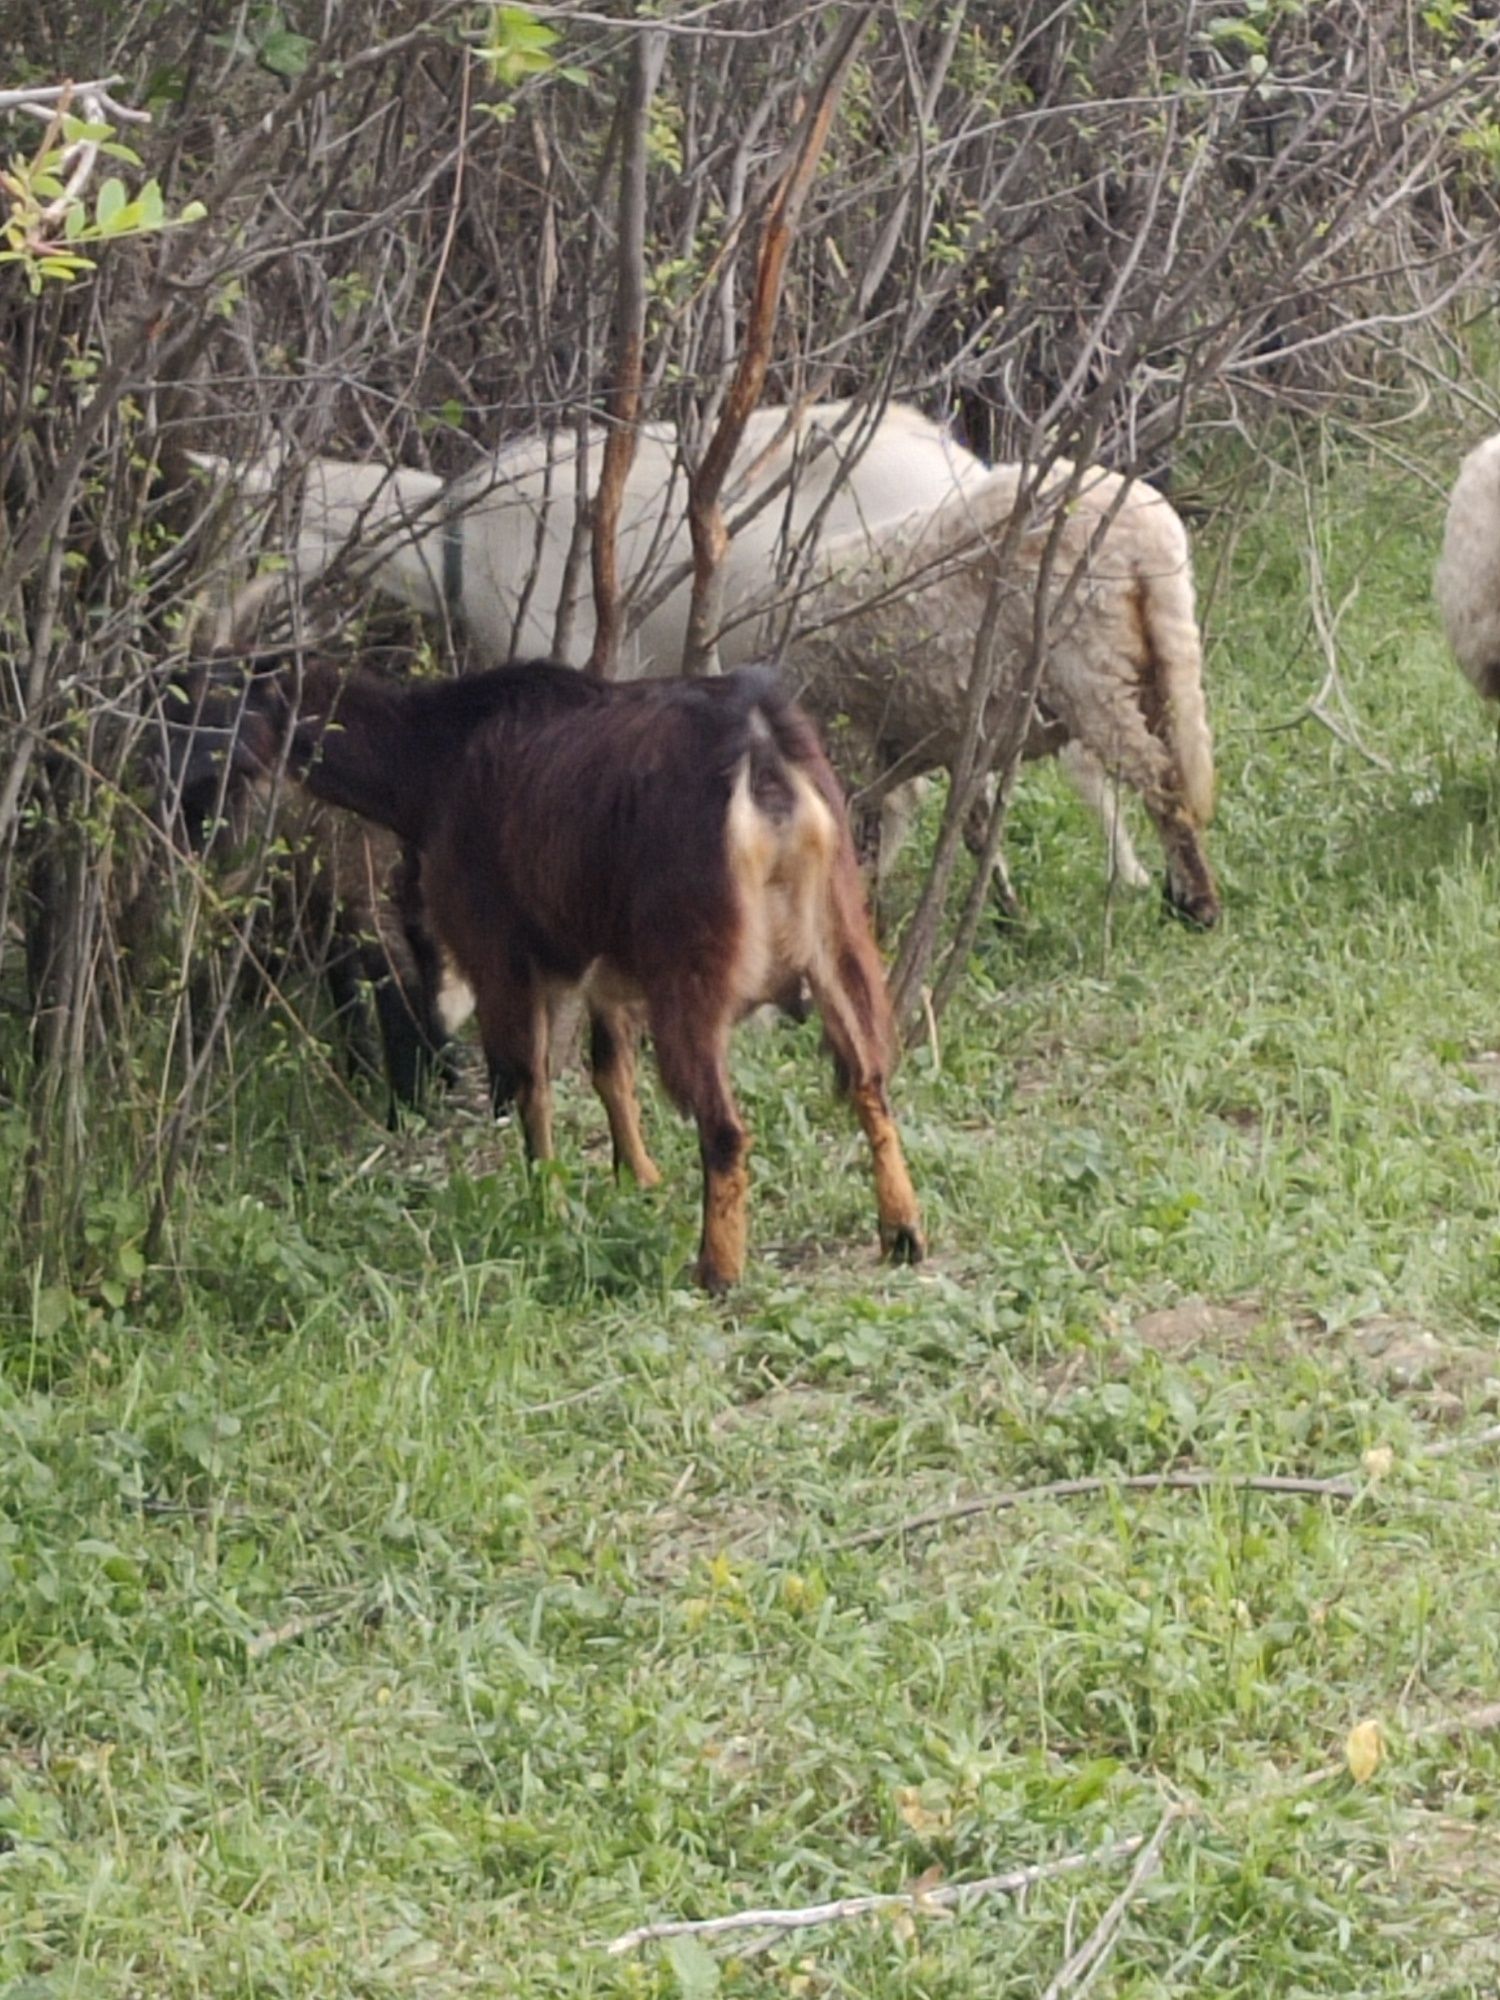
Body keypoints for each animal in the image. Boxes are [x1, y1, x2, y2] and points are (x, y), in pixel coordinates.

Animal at [216, 648, 924, 1288]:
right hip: (836, 936)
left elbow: (531, 1082)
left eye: (222, 703)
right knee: (868, 1078)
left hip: (692, 966)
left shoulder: (503, 957)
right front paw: (638, 1178)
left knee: (724, 1127)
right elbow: (611, 1070)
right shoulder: (600, 961)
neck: (435, 757)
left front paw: (546, 1206)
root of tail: (761, 758)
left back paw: (716, 1271)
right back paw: (902, 1232)